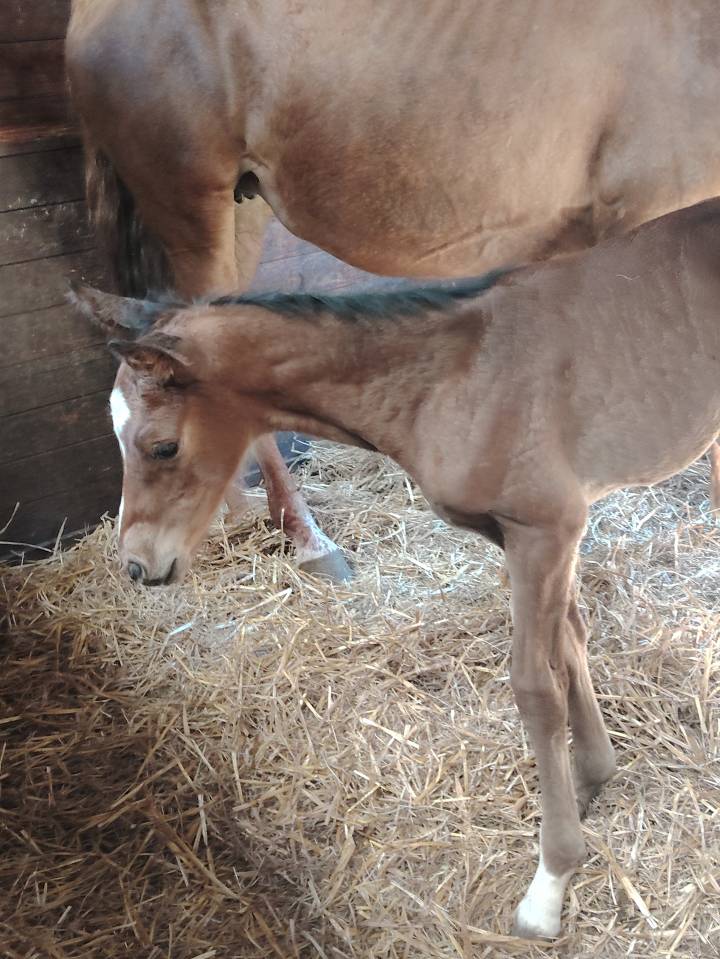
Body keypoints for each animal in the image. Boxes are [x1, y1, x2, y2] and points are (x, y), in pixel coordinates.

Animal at [69, 197, 720, 939]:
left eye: (162, 445)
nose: (137, 566)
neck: (450, 376)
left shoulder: (544, 528)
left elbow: (535, 686)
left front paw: (550, 882)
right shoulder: (536, 534)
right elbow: (571, 642)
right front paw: (592, 775)